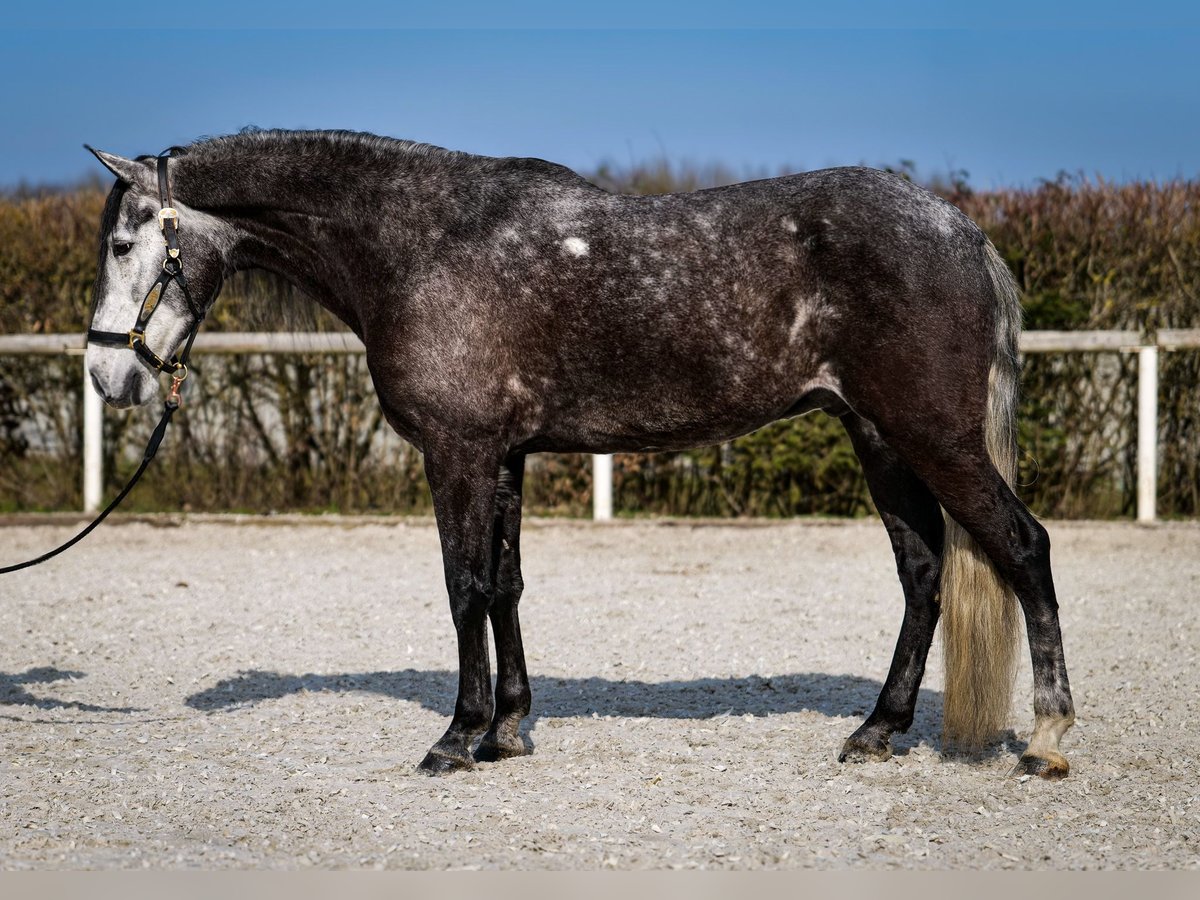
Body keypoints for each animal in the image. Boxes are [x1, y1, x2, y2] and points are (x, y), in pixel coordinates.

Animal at [87, 130, 1080, 777]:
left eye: (126, 242)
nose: (107, 374)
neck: (420, 242)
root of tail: (964, 234)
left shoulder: (458, 452)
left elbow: (464, 587)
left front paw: (457, 738)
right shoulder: (506, 455)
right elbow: (506, 585)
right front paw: (510, 729)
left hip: (932, 438)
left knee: (1023, 548)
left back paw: (1047, 741)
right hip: (879, 439)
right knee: (924, 574)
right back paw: (877, 730)